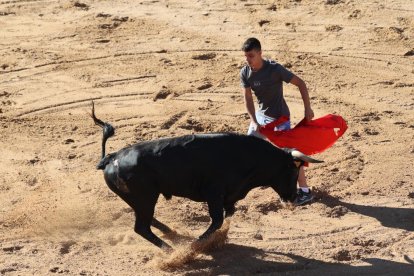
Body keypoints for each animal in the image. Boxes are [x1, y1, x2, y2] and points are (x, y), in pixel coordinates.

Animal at [91, 102, 324, 249]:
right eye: (292, 170)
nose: (293, 197)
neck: (249, 156)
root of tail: (111, 158)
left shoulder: (230, 196)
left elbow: (227, 217)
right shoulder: (214, 194)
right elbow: (217, 220)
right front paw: (196, 245)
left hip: (140, 199)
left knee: (147, 222)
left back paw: (171, 234)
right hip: (145, 197)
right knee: (141, 227)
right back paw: (173, 252)